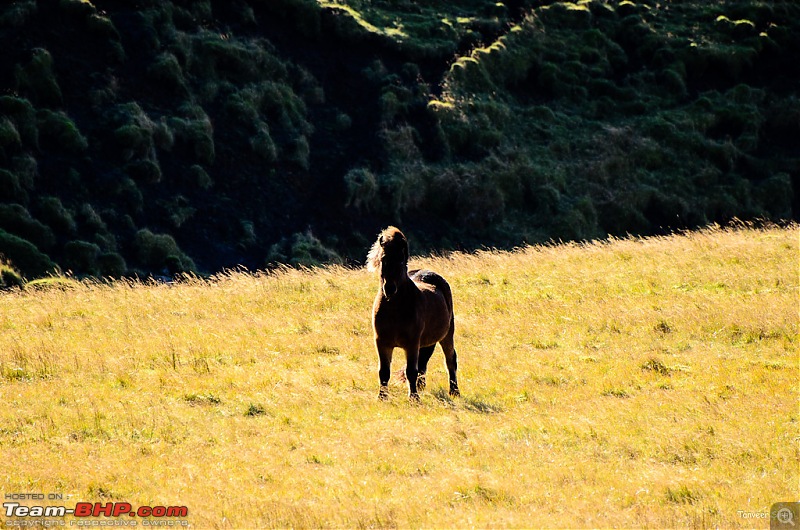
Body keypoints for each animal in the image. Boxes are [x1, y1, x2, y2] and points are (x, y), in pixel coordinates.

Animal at [366, 225, 460, 398]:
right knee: (423, 363)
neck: (394, 310)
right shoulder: (382, 342)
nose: (389, 289)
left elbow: (411, 371)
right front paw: (382, 397)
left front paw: (414, 398)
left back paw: (454, 391)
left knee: (450, 359)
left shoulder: (411, 343)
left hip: (447, 334)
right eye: (383, 259)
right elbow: (384, 372)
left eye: (401, 259)